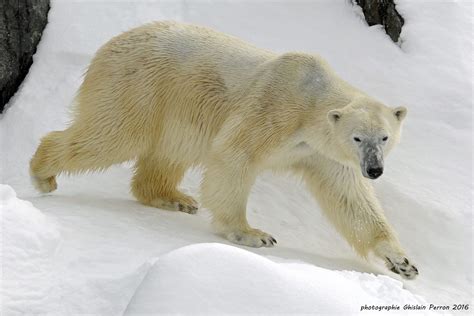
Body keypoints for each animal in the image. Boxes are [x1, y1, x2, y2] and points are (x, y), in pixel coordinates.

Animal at [29, 21, 416, 278]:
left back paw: (174, 197)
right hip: (139, 86)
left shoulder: (322, 153)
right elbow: (233, 156)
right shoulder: (274, 110)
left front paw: (402, 261)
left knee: (167, 153)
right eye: (358, 137)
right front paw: (253, 234)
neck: (311, 102)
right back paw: (43, 173)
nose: (375, 169)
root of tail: (109, 44)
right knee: (111, 134)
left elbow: (349, 198)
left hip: (174, 111)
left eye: (384, 137)